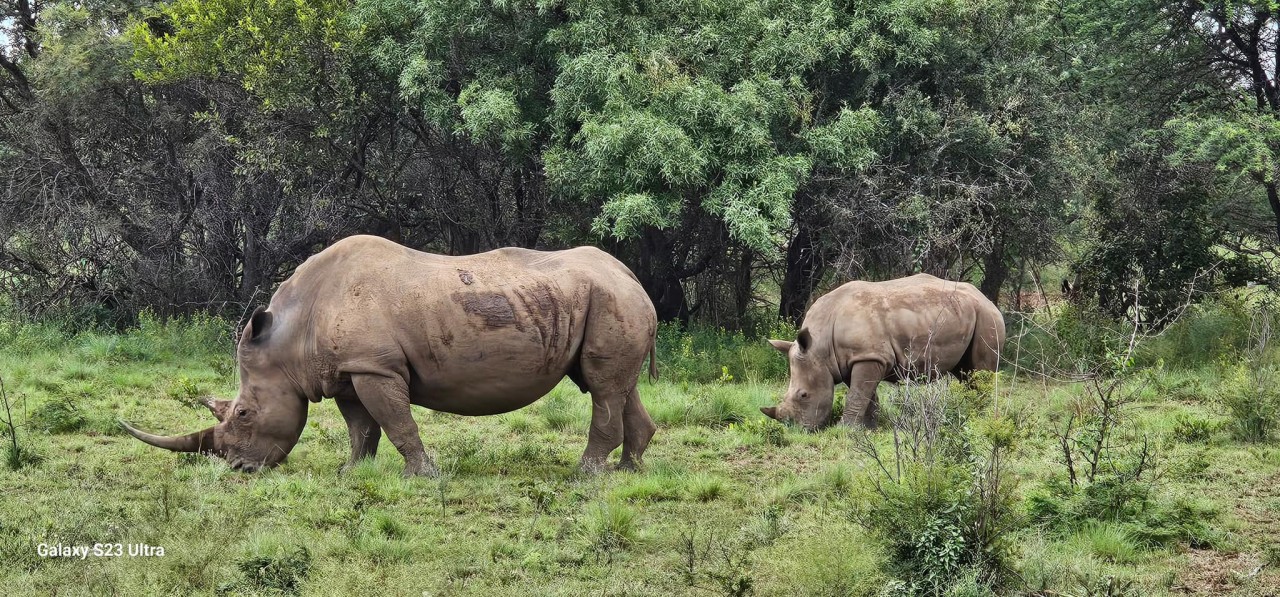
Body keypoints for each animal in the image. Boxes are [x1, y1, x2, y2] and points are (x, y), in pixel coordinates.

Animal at [121, 235, 659, 475]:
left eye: (244, 413)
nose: (237, 470)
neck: (291, 337)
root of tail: (632, 276)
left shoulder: (374, 366)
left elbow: (397, 422)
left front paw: (422, 475)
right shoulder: (346, 369)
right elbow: (362, 427)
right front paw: (352, 472)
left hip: (610, 300)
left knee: (603, 386)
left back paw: (584, 476)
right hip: (609, 300)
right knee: (615, 384)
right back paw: (628, 472)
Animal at [762, 274, 1004, 430]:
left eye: (803, 395)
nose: (795, 430)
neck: (820, 347)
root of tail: (987, 300)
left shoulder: (869, 356)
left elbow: (857, 394)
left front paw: (844, 430)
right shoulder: (855, 358)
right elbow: (865, 395)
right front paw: (867, 428)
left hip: (987, 317)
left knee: (979, 372)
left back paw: (979, 421)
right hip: (966, 313)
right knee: (965, 373)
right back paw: (971, 414)